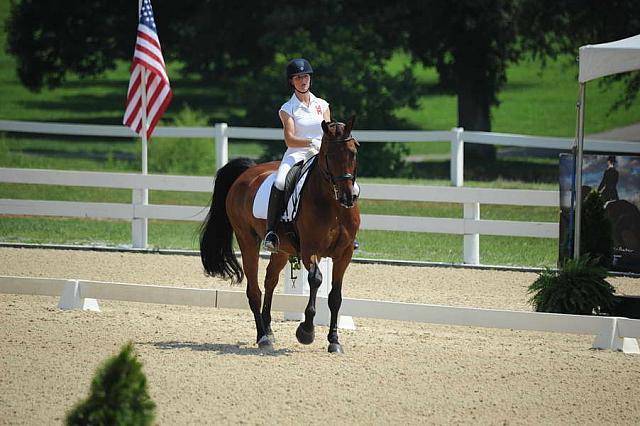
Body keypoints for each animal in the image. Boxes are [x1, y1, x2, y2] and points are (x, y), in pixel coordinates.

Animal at [200, 115, 360, 352]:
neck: (334, 205)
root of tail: (248, 172)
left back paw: (268, 330)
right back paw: (262, 337)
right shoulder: (309, 250)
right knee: (254, 290)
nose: (348, 197)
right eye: (329, 155)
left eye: (353, 152)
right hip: (247, 240)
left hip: (282, 250)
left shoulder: (344, 254)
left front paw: (334, 340)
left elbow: (335, 297)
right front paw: (306, 331)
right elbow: (316, 280)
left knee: (270, 281)